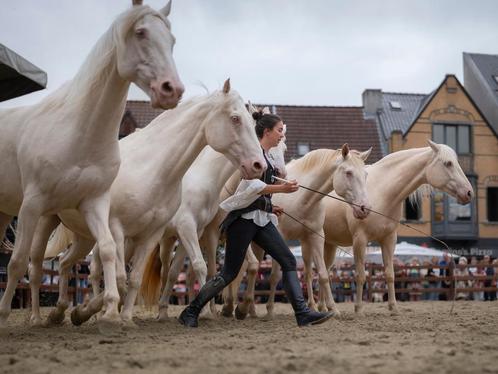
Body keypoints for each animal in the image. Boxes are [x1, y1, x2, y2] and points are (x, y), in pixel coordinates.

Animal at [0, 0, 183, 330]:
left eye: (172, 41)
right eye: (140, 32)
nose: (171, 89)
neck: (78, 133)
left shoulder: (95, 203)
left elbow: (109, 252)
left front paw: (106, 312)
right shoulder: (31, 206)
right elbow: (18, 262)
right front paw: (4, 316)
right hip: (41, 218)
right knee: (35, 265)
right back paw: (36, 316)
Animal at [41, 80, 266, 326]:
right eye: (235, 118)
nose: (259, 165)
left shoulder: (171, 233)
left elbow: (150, 275)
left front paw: (129, 316)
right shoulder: (149, 228)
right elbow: (192, 267)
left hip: (86, 237)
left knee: (65, 263)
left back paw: (61, 311)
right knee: (38, 265)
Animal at [140, 130, 288, 320]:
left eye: (284, 147)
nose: (280, 174)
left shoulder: (210, 233)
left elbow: (246, 266)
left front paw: (226, 309)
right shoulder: (202, 232)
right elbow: (208, 269)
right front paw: (210, 310)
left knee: (177, 273)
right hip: (165, 239)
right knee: (163, 271)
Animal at [221, 145, 370, 318]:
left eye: (365, 174)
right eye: (348, 173)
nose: (365, 208)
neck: (303, 198)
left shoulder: (315, 237)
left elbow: (322, 274)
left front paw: (332, 308)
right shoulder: (281, 238)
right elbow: (274, 276)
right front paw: (270, 310)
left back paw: (247, 309)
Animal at [320, 142, 472, 314]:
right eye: (448, 163)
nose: (469, 193)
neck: (382, 190)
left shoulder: (389, 239)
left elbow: (390, 274)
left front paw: (393, 307)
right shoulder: (360, 240)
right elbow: (360, 275)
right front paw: (358, 308)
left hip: (328, 244)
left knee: (323, 271)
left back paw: (323, 307)